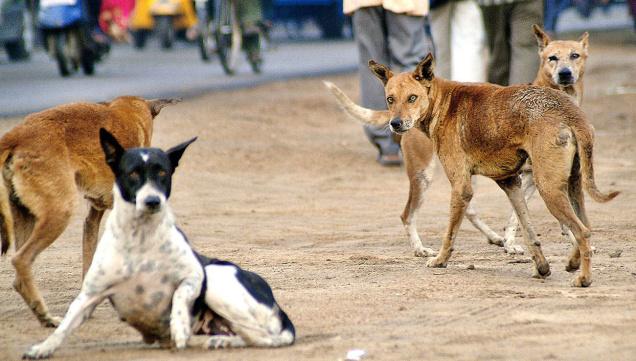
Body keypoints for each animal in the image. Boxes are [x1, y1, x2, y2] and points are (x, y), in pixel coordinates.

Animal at [0, 95, 179, 324]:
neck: (126, 112)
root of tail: (18, 133)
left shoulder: (93, 217)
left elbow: (89, 262)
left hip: (25, 215)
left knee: (19, 274)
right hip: (59, 213)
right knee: (20, 260)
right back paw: (46, 316)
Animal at [21, 129, 296, 358]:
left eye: (162, 173)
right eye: (133, 173)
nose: (152, 201)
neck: (140, 236)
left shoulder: (194, 275)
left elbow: (179, 297)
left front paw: (179, 327)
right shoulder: (89, 295)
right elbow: (63, 328)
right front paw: (43, 347)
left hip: (215, 276)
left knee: (264, 336)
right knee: (248, 335)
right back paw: (222, 340)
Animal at [322, 52, 616, 286]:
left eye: (412, 98)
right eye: (390, 99)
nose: (395, 124)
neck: (442, 102)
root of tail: (571, 112)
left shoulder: (463, 186)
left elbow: (450, 234)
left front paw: (440, 260)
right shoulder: (511, 183)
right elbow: (529, 231)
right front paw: (541, 267)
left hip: (548, 189)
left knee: (582, 231)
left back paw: (583, 278)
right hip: (571, 186)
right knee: (585, 227)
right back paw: (572, 263)